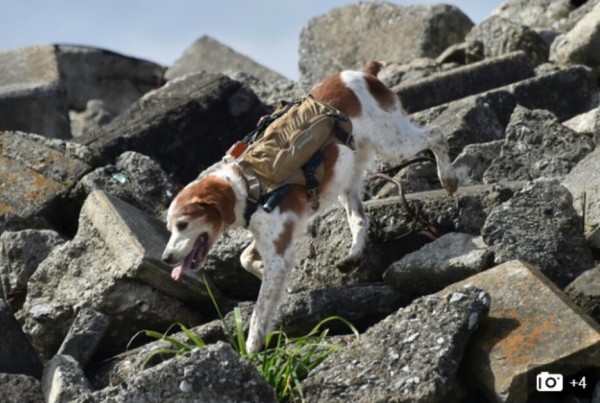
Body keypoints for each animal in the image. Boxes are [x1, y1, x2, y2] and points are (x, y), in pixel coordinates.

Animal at [162, 61, 458, 356]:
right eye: (170, 227)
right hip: (347, 178)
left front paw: (251, 352)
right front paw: (279, 282)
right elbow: (245, 258)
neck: (247, 185)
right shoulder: (276, 237)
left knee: (436, 135)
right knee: (360, 220)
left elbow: (259, 313)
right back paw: (353, 256)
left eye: (183, 224)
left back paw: (448, 179)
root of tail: (363, 73)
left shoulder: (278, 250)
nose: (166, 259)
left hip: (393, 142)